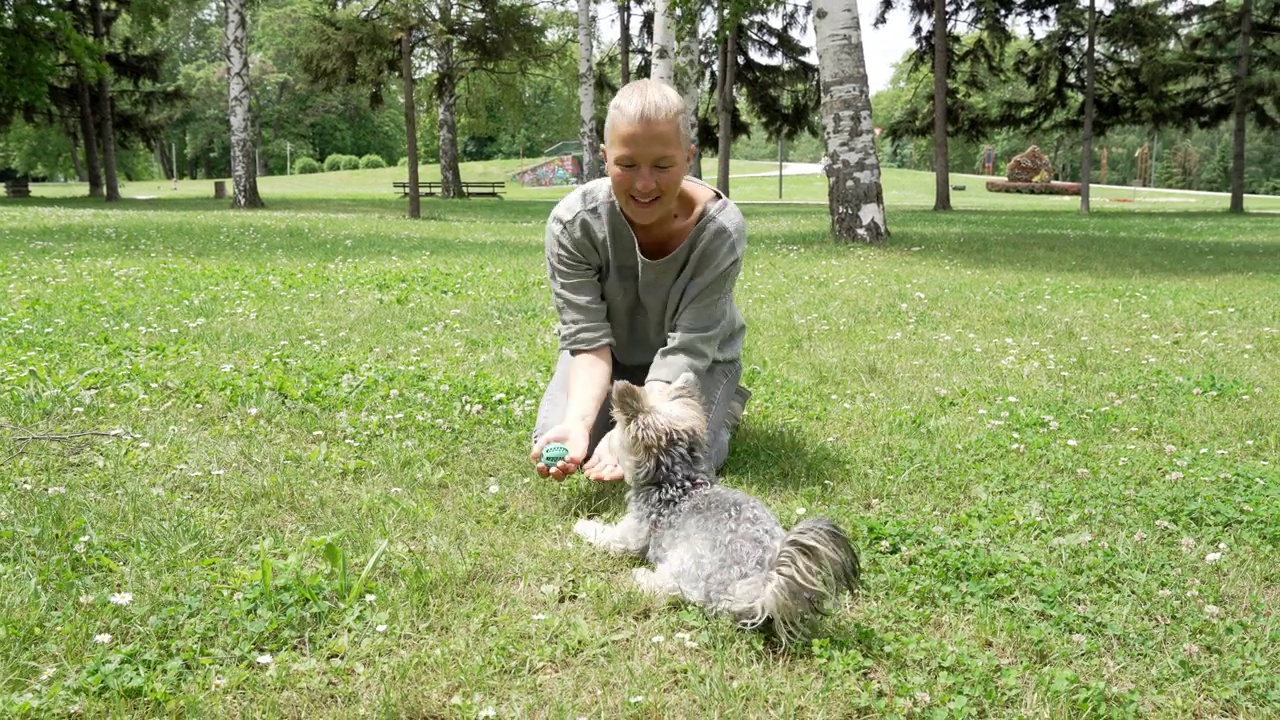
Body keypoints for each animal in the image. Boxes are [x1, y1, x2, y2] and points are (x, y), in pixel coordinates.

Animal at [573, 368, 860, 638]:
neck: (680, 483)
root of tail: (761, 586)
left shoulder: (633, 533)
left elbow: (608, 538)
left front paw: (584, 526)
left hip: (684, 567)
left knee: (669, 588)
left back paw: (641, 578)